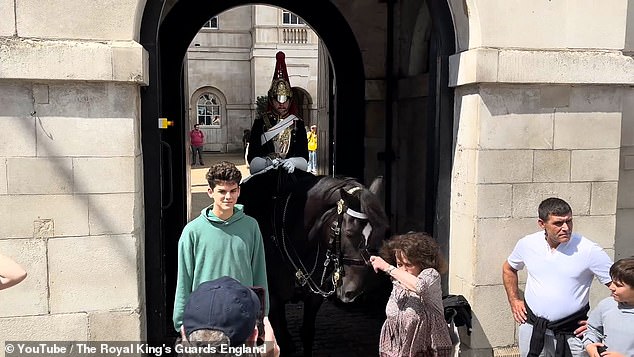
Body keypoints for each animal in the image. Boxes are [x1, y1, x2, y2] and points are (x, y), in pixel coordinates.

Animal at [238, 168, 390, 354]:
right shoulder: (273, 299)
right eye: (349, 233)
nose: (352, 292)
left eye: (381, 234)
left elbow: (307, 332)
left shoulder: (314, 297)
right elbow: (281, 338)